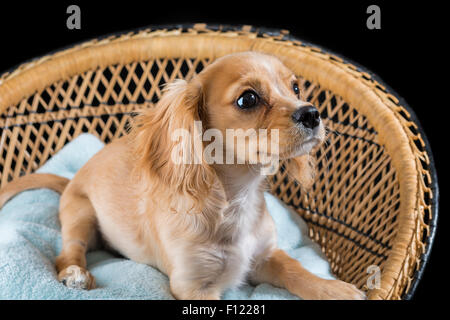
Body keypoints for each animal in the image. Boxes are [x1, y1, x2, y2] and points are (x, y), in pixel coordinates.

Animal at [0, 52, 366, 300]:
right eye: (248, 98)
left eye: (295, 87)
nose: (313, 114)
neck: (235, 200)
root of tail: (71, 180)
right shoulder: (194, 286)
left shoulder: (265, 256)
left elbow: (297, 270)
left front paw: (334, 289)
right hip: (80, 215)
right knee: (69, 249)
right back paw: (75, 273)